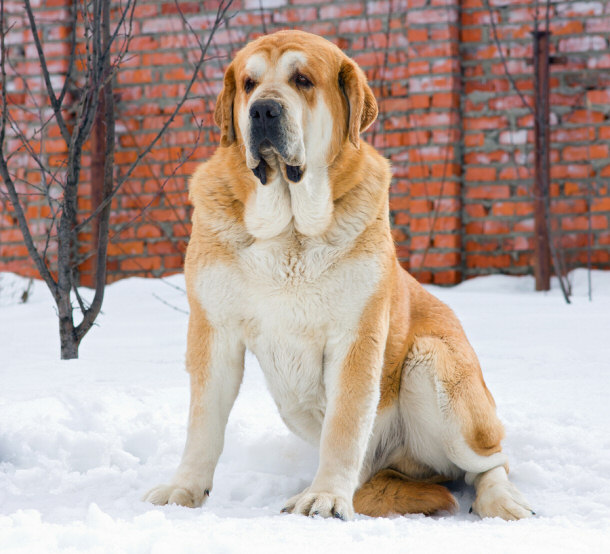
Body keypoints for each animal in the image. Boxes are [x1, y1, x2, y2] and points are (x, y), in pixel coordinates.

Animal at [144, 30, 532, 520]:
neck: (290, 230)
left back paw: (502, 500)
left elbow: (344, 425)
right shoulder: (214, 331)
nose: (263, 110)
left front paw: (326, 497)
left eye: (303, 80)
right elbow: (203, 423)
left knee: (489, 463)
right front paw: (185, 489)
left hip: (435, 365)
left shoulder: (355, 336)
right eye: (249, 84)